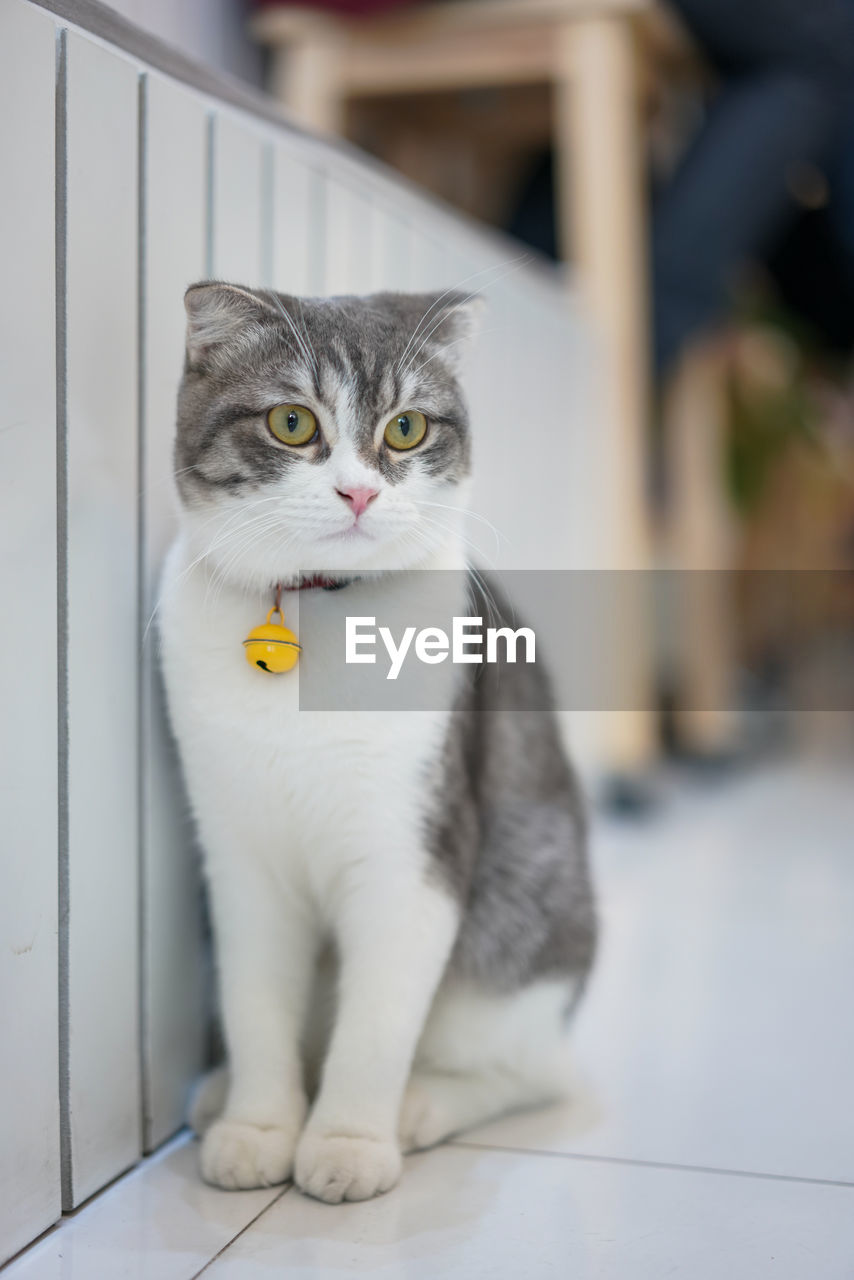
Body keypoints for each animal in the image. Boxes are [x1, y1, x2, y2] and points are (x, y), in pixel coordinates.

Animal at [161, 280, 601, 1198]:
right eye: (292, 422)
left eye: (406, 428)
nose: (358, 494)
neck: (316, 620)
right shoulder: (241, 858)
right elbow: (255, 1001)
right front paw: (260, 1126)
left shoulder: (414, 853)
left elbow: (376, 1026)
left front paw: (348, 1143)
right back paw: (219, 1096)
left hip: (518, 922)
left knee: (532, 1069)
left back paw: (421, 1106)